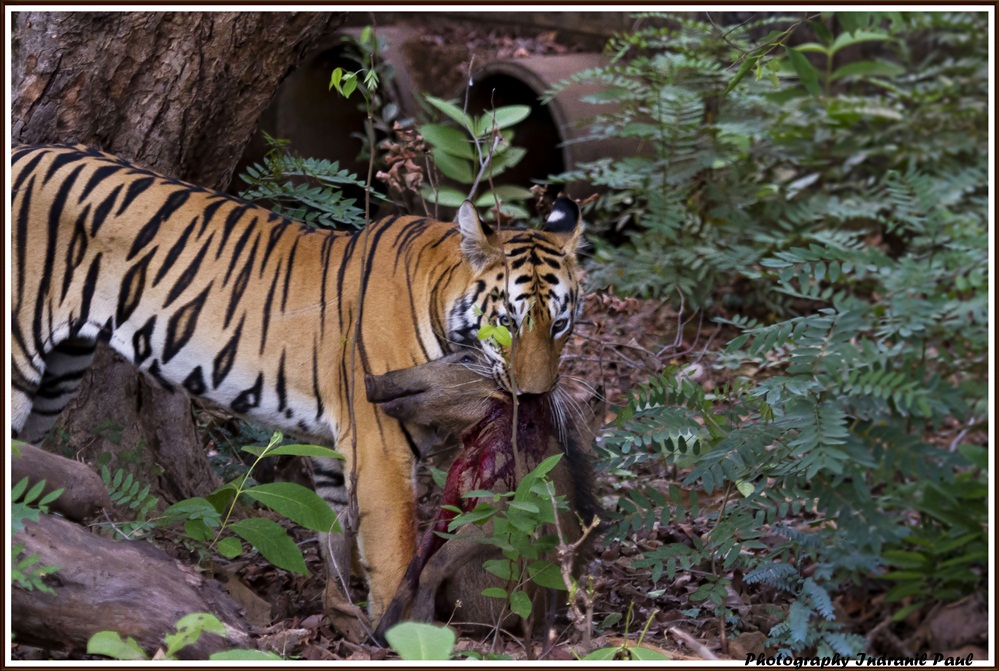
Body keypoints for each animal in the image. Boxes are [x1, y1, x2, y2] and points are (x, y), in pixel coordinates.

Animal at [8, 143, 584, 622]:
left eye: (559, 324)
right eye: (507, 323)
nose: (534, 395)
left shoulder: (333, 448)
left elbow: (337, 535)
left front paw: (344, 612)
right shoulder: (381, 447)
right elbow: (393, 549)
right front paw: (396, 630)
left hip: (59, 375)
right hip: (19, 359)